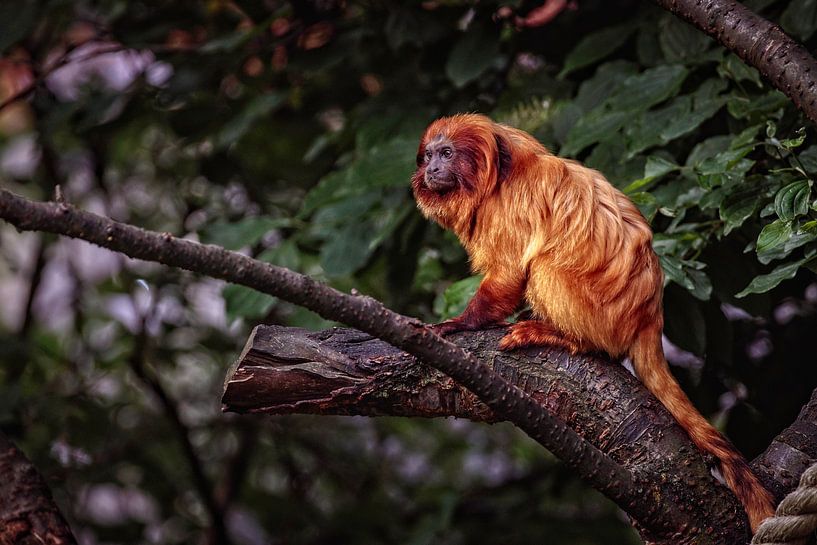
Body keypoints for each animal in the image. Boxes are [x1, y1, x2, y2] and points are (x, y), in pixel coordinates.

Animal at [411, 113, 775, 532]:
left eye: (446, 153)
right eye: (429, 156)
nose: (432, 169)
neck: (493, 180)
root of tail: (649, 314)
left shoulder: (509, 211)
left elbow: (510, 271)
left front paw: (460, 324)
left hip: (601, 312)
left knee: (546, 264)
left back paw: (564, 337)